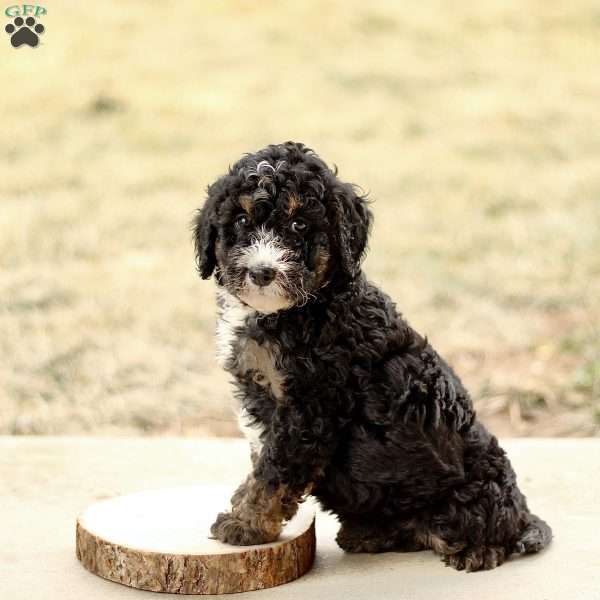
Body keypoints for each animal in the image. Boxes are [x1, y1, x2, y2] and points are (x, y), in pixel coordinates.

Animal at [193, 141, 552, 572]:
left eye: (299, 226)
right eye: (243, 220)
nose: (262, 272)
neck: (302, 307)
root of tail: (524, 517)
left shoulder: (310, 408)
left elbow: (274, 472)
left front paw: (244, 525)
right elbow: (260, 460)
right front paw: (241, 507)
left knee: (485, 531)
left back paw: (478, 550)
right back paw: (370, 533)